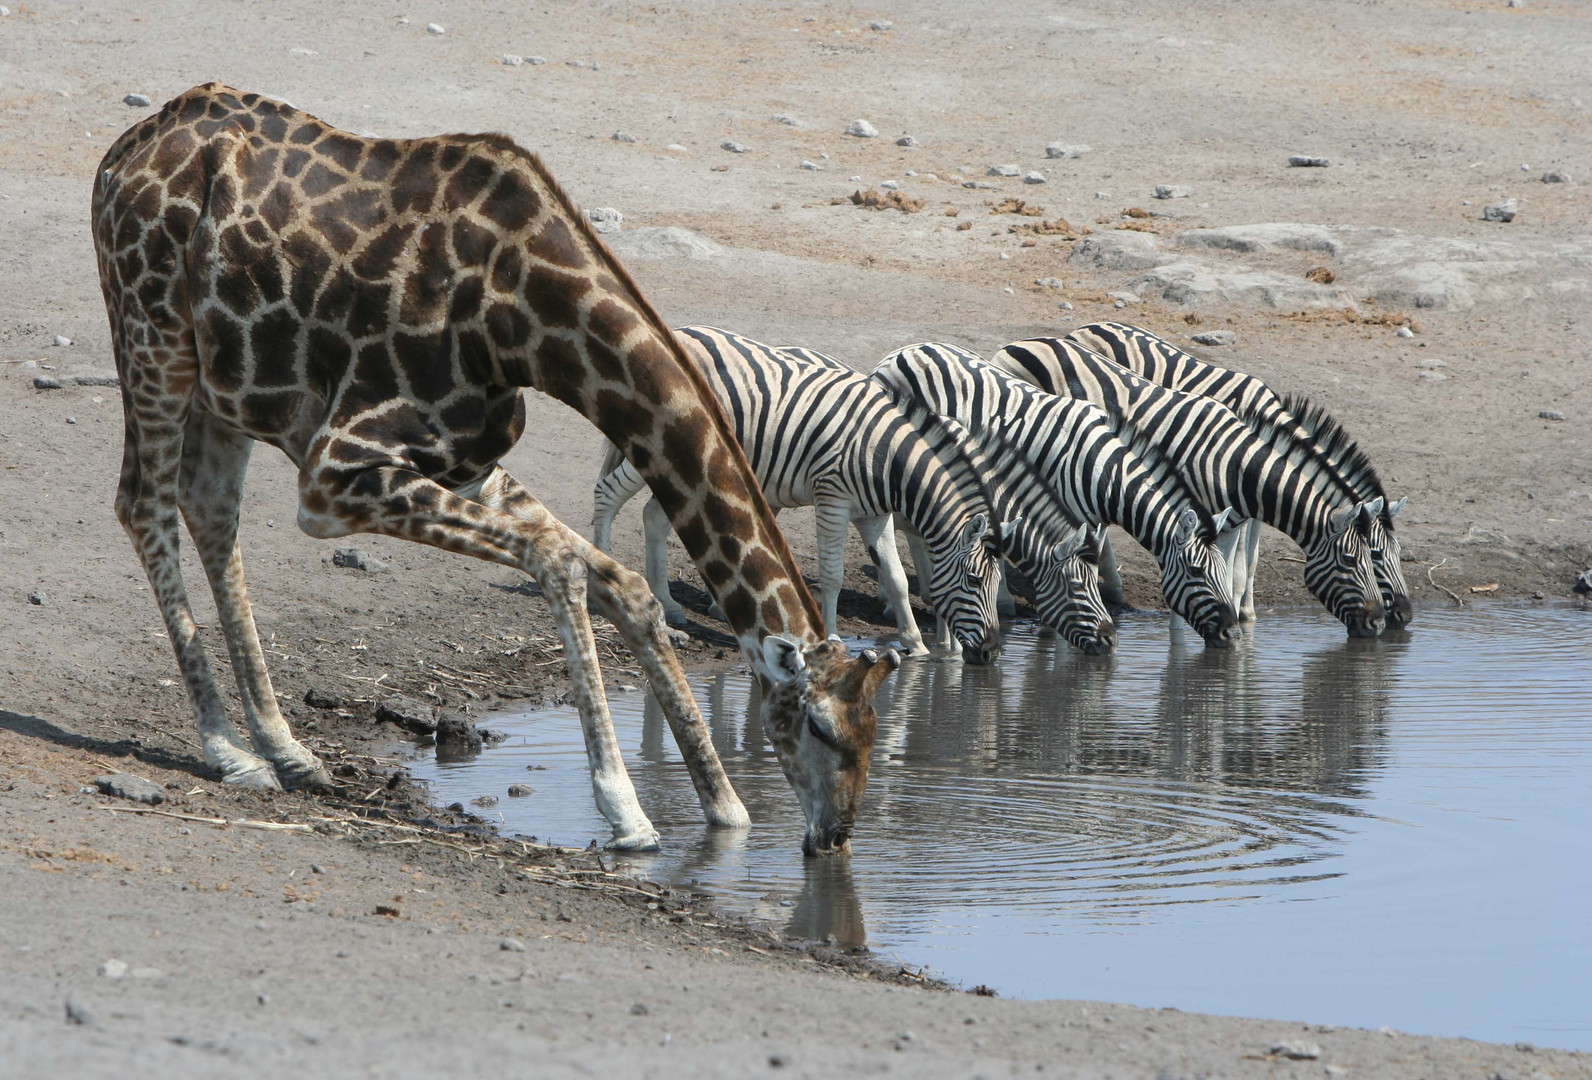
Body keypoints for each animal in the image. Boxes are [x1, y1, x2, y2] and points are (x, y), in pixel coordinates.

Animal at [93, 84, 904, 860]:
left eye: (872, 733)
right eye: (823, 730)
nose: (834, 838)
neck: (525, 320)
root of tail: (119, 155)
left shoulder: (466, 464)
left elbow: (625, 584)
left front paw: (725, 811)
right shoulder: (333, 473)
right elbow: (559, 563)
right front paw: (627, 811)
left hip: (227, 388)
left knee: (208, 510)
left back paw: (286, 751)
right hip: (154, 337)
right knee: (142, 504)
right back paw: (227, 750)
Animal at [592, 323, 1012, 659]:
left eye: (995, 584)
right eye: (975, 582)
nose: (991, 653)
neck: (885, 457)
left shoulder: (874, 515)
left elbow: (896, 576)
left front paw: (915, 643)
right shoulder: (832, 498)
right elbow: (833, 574)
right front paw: (833, 638)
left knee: (653, 516)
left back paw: (667, 602)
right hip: (656, 438)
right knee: (606, 493)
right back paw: (602, 586)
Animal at [872, 342, 1241, 646]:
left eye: (1223, 571)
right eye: (1196, 572)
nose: (1232, 633)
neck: (1103, 470)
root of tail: (899, 353)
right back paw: (891, 602)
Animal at [987, 337, 1388, 640]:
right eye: (1357, 560)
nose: (1381, 623)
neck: (1234, 463)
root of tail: (1019, 343)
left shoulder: (1234, 519)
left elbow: (1237, 566)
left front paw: (1240, 615)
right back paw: (1009, 602)